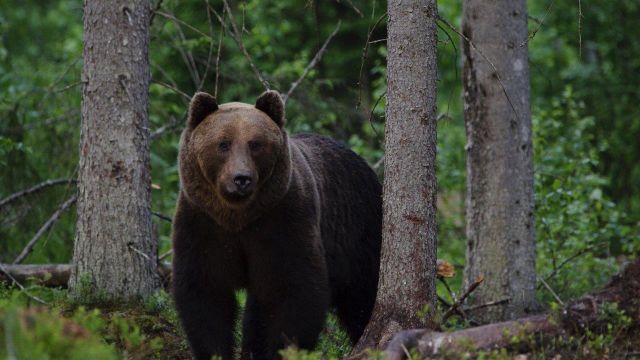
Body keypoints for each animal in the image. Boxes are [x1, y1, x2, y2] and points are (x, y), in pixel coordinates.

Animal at [171, 90, 380, 360]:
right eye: (223, 144)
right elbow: (205, 291)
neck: (238, 216)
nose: (241, 179)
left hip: (359, 231)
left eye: (255, 144)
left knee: (363, 295)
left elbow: (290, 291)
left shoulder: (282, 220)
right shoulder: (203, 223)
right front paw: (216, 352)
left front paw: (282, 349)